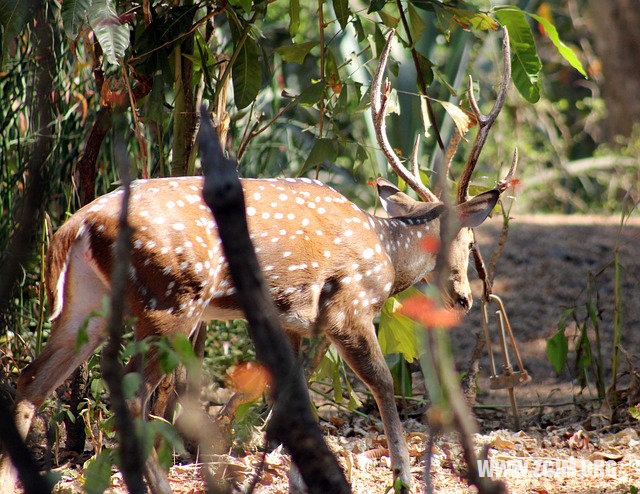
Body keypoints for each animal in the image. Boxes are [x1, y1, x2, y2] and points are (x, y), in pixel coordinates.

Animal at [0, 29, 516, 490]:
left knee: (31, 381)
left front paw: (294, 477)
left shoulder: (291, 320)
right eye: (470, 240)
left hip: (86, 302)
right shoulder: (347, 306)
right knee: (130, 394)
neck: (385, 253)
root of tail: (76, 225)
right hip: (171, 298)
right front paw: (402, 476)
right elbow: (383, 382)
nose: (464, 298)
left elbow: (290, 400)